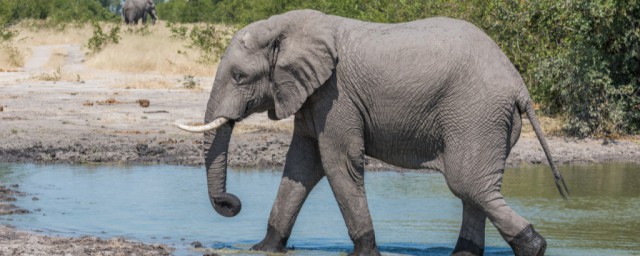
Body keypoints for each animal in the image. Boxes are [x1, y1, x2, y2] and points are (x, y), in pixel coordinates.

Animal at [172, 9, 568, 256]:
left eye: (240, 77)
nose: (232, 203)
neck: (287, 26)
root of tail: (518, 84)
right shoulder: (313, 97)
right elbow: (302, 165)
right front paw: (264, 248)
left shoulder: (336, 96)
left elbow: (337, 163)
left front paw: (365, 250)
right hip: (485, 120)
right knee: (474, 189)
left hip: (476, 114)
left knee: (467, 184)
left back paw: (535, 247)